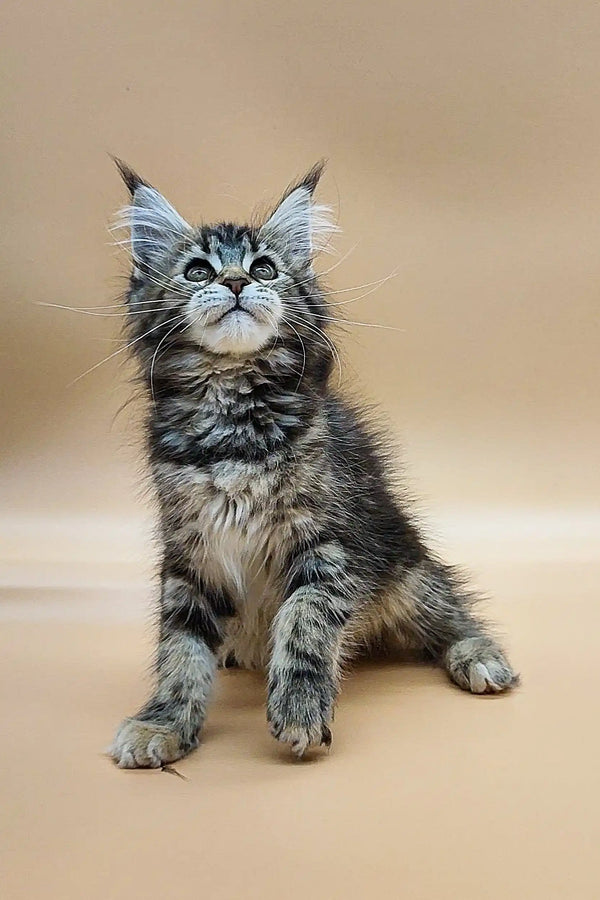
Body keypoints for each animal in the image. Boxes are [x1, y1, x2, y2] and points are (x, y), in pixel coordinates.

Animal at [110, 162, 516, 768]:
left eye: (265, 268)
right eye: (199, 269)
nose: (236, 282)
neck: (233, 423)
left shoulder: (332, 542)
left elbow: (305, 617)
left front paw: (300, 707)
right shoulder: (191, 552)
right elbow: (179, 647)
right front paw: (163, 722)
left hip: (406, 569)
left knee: (449, 613)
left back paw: (479, 656)